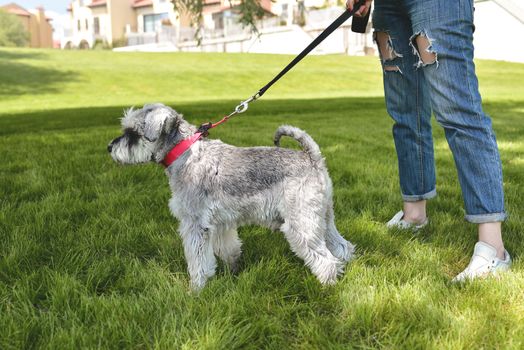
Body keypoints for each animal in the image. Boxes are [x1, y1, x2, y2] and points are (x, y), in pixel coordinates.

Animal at [109, 103, 356, 290]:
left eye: (132, 133)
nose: (109, 147)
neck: (184, 153)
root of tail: (313, 158)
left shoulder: (195, 224)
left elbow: (198, 261)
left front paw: (196, 289)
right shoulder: (220, 224)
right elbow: (228, 249)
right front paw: (233, 270)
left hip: (301, 223)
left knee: (326, 259)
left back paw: (327, 286)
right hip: (323, 217)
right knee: (342, 246)